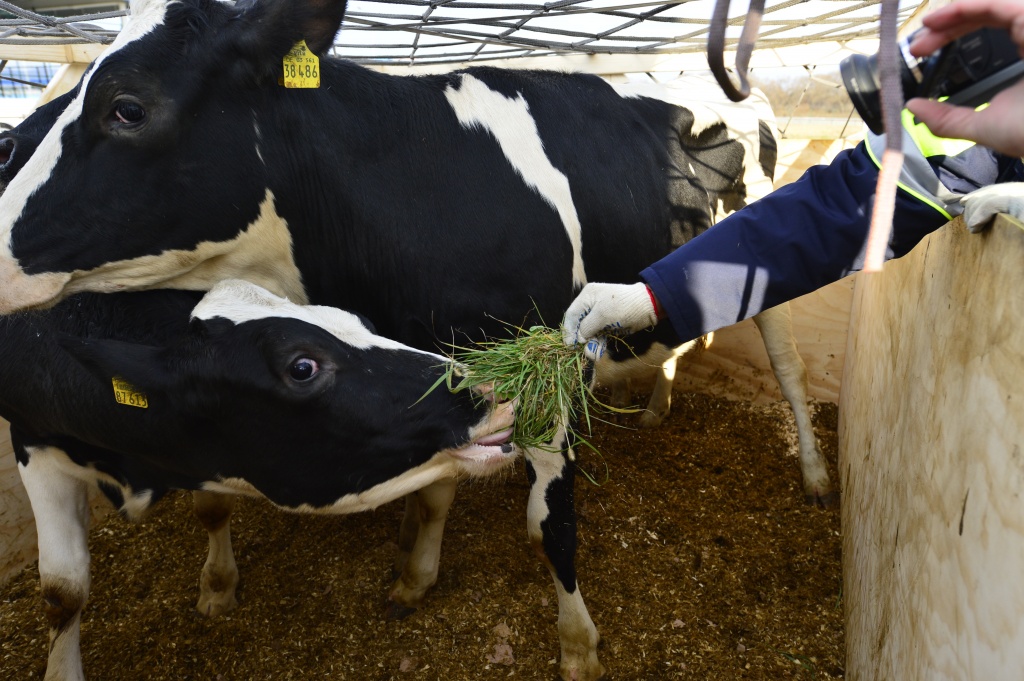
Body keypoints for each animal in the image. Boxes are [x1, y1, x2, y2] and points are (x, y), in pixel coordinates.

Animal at [0, 278, 512, 679]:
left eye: (361, 320)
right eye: (302, 366)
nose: (495, 386)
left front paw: (218, 584)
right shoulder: (30, 441)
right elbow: (63, 590)